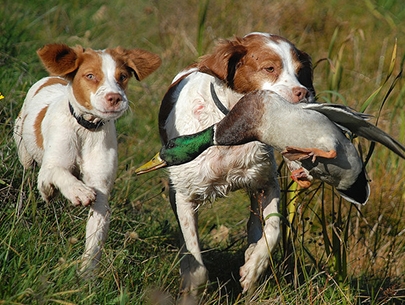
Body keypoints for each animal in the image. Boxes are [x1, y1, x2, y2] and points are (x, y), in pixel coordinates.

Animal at [15, 42, 161, 270]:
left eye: (122, 76)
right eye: (90, 76)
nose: (115, 98)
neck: (85, 129)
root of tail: (53, 77)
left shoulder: (101, 192)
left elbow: (95, 240)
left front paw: (86, 273)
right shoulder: (49, 168)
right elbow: (58, 173)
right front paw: (77, 191)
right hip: (23, 148)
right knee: (27, 171)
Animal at [157, 32, 312, 294]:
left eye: (300, 71)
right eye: (269, 68)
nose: (303, 93)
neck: (230, 127)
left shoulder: (266, 183)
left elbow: (273, 229)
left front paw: (253, 268)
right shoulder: (185, 195)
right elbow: (195, 260)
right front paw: (190, 283)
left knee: (255, 224)